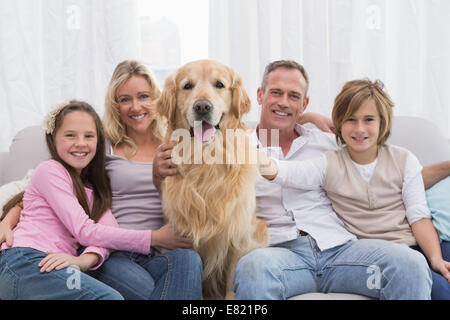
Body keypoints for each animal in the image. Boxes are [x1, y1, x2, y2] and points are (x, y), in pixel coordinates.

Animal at [156, 60, 268, 300]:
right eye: (187, 86)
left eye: (219, 84)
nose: (202, 107)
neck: (206, 164)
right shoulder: (185, 237)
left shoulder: (239, 236)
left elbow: (231, 284)